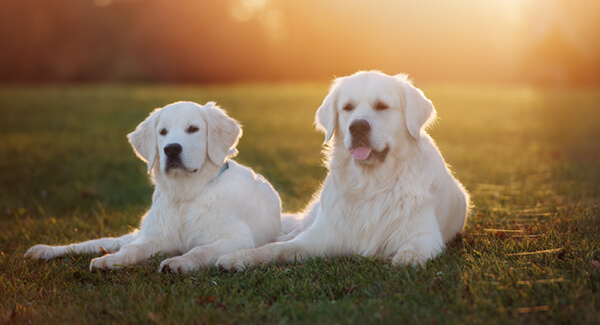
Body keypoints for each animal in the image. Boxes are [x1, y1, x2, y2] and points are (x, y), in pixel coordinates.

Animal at [24, 100, 282, 270]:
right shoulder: (156, 237)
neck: (185, 195)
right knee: (101, 243)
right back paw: (45, 250)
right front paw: (112, 260)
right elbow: (133, 250)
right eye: (163, 132)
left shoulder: (237, 238)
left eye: (193, 129)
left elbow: (201, 249)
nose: (172, 149)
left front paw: (179, 262)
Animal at [218, 71, 472, 270]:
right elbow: (276, 248)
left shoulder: (425, 235)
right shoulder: (320, 236)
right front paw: (239, 257)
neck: (370, 185)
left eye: (382, 106)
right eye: (348, 107)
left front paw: (405, 258)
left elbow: (412, 251)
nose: (358, 127)